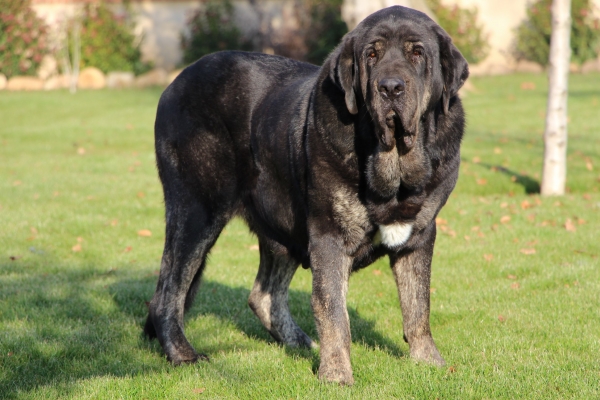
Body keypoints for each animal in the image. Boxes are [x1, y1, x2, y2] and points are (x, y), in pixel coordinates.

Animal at [144, 5, 468, 384]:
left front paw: (429, 362)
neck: (395, 169)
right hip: (196, 212)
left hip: (279, 226)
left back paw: (300, 342)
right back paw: (183, 355)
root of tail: (175, 83)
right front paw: (336, 374)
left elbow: (418, 304)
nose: (390, 87)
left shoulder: (419, 237)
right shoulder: (329, 237)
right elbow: (333, 311)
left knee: (263, 295)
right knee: (168, 293)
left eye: (417, 53)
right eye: (371, 55)